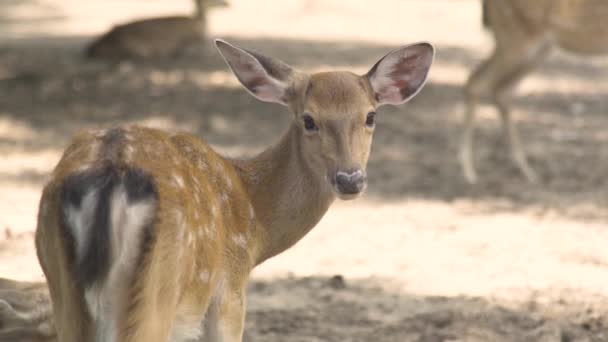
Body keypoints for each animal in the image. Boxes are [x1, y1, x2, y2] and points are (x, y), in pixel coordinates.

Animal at [33, 38, 434, 340]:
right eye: (308, 119)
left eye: (370, 116)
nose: (350, 179)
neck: (255, 224)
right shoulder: (229, 293)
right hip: (156, 290)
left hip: (63, 290)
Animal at [460, 0, 608, 184]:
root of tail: (484, 4)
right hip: (516, 38)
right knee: (477, 82)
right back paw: (468, 171)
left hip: (535, 48)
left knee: (501, 90)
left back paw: (525, 169)